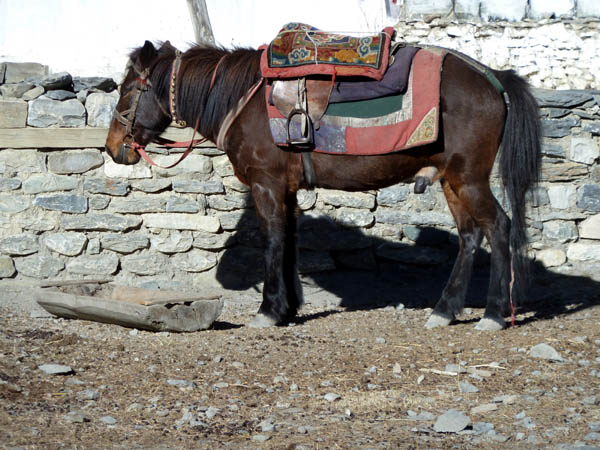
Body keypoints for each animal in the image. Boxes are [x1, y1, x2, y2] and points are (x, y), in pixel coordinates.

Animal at [104, 39, 544, 330]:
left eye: (128, 89)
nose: (112, 147)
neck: (242, 100)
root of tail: (493, 78)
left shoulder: (267, 184)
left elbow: (272, 241)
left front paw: (268, 311)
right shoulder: (287, 190)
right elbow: (289, 242)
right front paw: (289, 308)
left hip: (470, 178)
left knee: (499, 228)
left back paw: (492, 315)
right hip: (453, 181)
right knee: (470, 236)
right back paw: (444, 310)